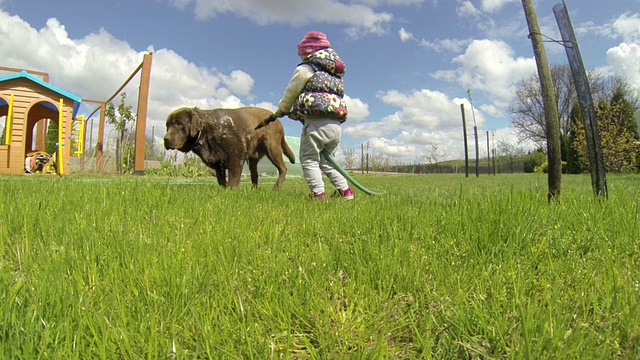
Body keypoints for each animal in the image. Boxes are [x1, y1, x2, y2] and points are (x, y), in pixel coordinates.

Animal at [164, 106, 296, 188]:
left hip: (271, 146)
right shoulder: (218, 165)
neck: (207, 131)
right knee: (255, 175)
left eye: (179, 123)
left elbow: (233, 180)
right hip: (253, 158)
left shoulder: (236, 157)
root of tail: (278, 122)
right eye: (167, 126)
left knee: (283, 168)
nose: (165, 139)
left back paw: (276, 187)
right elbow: (221, 181)